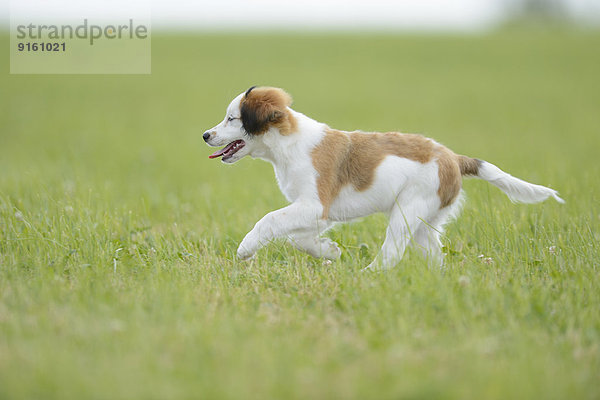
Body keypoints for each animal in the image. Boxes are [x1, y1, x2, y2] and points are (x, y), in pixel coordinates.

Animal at [204, 86, 564, 268]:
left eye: (232, 118)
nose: (206, 135)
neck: (289, 143)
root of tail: (453, 158)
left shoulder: (314, 205)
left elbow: (268, 220)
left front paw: (246, 249)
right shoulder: (316, 212)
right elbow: (297, 237)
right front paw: (328, 251)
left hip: (407, 211)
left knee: (391, 254)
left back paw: (368, 277)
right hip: (424, 222)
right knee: (435, 256)